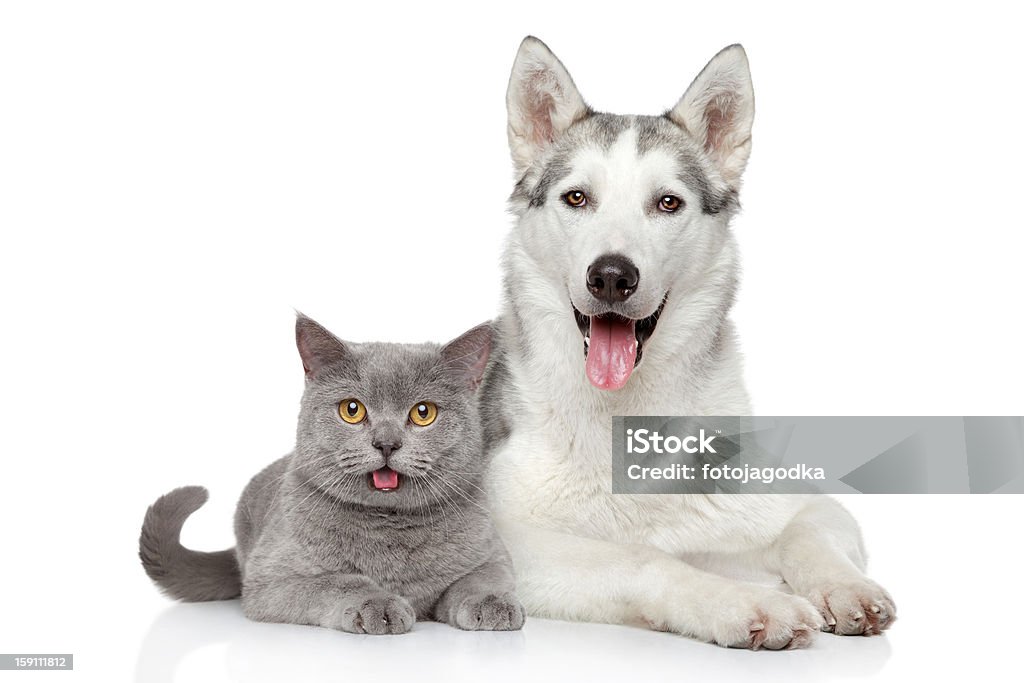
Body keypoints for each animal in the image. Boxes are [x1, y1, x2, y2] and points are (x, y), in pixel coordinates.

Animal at [140, 315, 524, 634]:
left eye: (423, 413)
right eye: (352, 410)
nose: (386, 442)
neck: (390, 531)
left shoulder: (493, 554)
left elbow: (483, 579)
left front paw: (494, 604)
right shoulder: (272, 579)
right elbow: (340, 581)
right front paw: (377, 604)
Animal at [483, 38, 892, 651]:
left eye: (668, 203)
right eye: (576, 198)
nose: (611, 276)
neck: (628, 415)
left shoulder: (800, 504)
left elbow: (807, 532)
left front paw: (845, 588)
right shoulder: (507, 542)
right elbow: (643, 559)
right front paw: (744, 602)